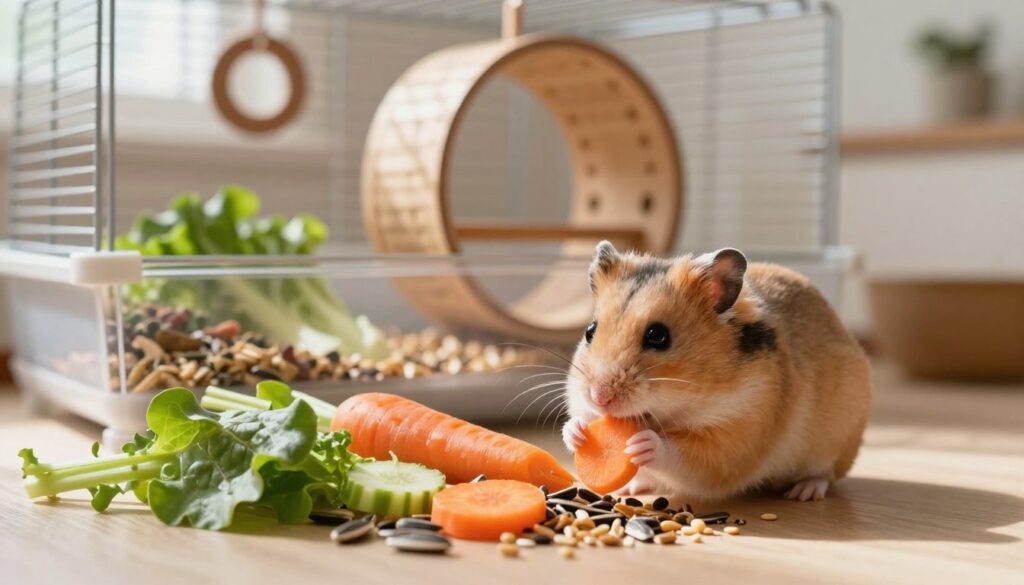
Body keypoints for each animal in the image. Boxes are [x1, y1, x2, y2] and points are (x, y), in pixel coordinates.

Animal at [562, 241, 871, 501]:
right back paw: (631, 487)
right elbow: (579, 417)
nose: (600, 397)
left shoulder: (736, 436)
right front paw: (577, 432)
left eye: (658, 336)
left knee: (826, 475)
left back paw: (803, 492)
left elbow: (683, 455)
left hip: (835, 444)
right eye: (590, 331)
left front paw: (641, 444)